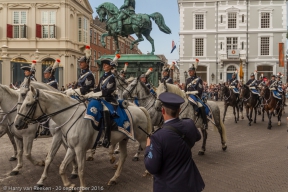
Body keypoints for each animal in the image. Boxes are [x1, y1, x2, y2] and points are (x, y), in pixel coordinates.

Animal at [14, 86, 151, 189]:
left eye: (28, 104)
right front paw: (68, 184)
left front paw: (82, 187)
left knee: (147, 149)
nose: (17, 124)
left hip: (142, 139)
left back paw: (148, 171)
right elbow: (62, 167)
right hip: (123, 139)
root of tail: (139, 108)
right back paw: (114, 178)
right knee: (123, 157)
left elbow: (81, 170)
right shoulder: (71, 148)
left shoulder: (80, 149)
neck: (70, 116)